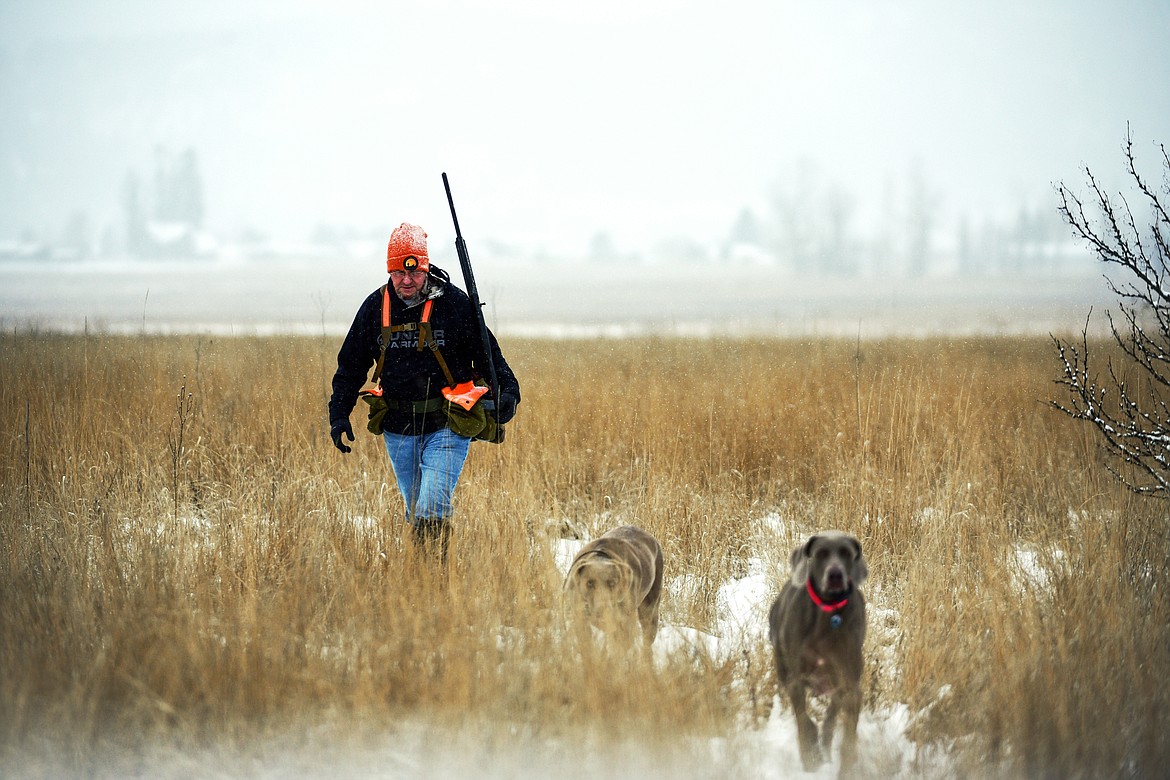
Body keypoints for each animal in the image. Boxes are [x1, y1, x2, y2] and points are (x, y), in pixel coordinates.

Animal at [767, 530, 870, 776]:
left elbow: (847, 734)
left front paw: (846, 766)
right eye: (821, 553)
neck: (828, 612)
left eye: (846, 553)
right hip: (783, 668)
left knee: (831, 716)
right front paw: (810, 757)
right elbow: (804, 722)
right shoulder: (795, 679)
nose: (835, 575)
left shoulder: (851, 686)